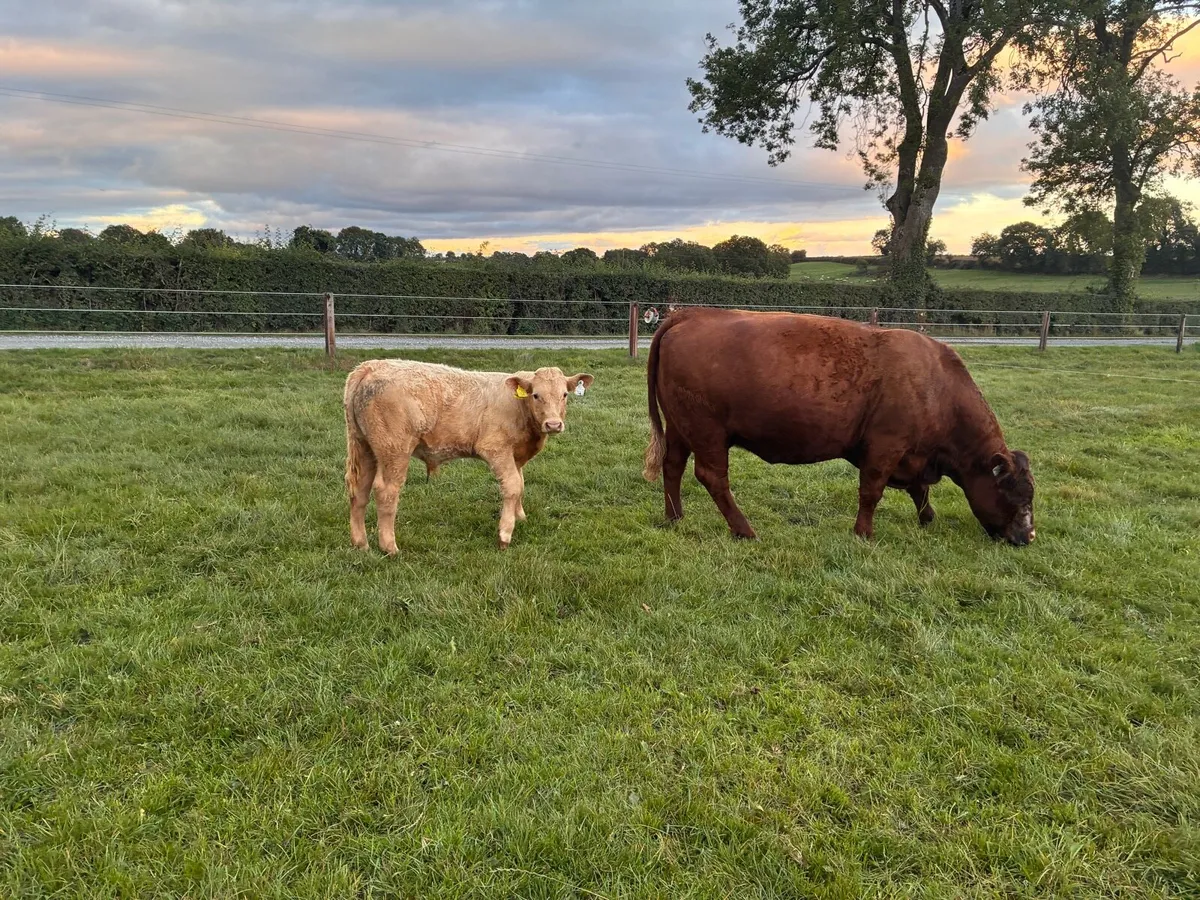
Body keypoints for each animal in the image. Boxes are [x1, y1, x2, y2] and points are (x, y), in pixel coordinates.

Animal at [344, 360, 594, 553]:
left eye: (564, 394)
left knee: (360, 490)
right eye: (536, 395)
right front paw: (505, 534)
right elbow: (513, 485)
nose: (553, 424)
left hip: (365, 446)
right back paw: (390, 547)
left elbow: (521, 484)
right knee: (386, 492)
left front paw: (520, 516)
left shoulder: (516, 455)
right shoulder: (496, 448)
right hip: (394, 450)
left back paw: (360, 544)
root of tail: (370, 366)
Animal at [643, 307, 1036, 545]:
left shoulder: (913, 454)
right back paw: (744, 530)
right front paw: (864, 533)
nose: (1028, 537)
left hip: (680, 428)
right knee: (712, 477)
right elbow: (871, 492)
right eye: (1015, 495)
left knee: (673, 466)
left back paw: (675, 518)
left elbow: (920, 490)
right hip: (707, 432)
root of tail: (691, 314)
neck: (937, 385)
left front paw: (927, 518)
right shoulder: (886, 446)